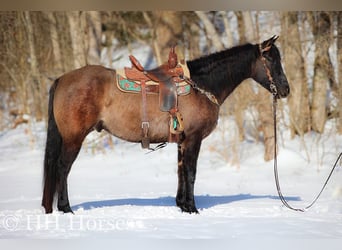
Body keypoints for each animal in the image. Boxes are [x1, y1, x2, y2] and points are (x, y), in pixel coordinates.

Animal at [42, 35, 288, 215]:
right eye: (271, 60)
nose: (285, 90)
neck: (201, 85)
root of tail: (62, 79)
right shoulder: (193, 139)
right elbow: (191, 172)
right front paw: (192, 209)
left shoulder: (182, 141)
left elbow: (180, 172)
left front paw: (182, 205)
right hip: (73, 138)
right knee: (62, 167)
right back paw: (65, 207)